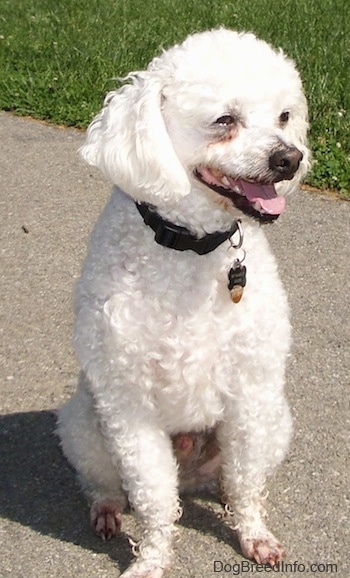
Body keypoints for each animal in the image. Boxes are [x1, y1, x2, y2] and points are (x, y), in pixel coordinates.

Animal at [57, 28, 308, 576]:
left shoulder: (251, 393)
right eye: (224, 120)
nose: (290, 159)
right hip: (85, 424)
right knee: (105, 484)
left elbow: (246, 481)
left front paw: (253, 535)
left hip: (277, 420)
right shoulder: (129, 406)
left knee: (233, 478)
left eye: (283, 116)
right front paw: (151, 559)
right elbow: (153, 496)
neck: (193, 247)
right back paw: (107, 511)